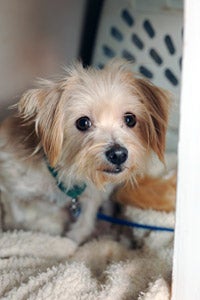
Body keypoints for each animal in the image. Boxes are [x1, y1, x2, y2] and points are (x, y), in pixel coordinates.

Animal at [0, 60, 170, 244]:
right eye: (83, 122)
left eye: (130, 119)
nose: (118, 154)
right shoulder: (9, 183)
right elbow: (16, 216)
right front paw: (16, 228)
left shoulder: (91, 196)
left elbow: (83, 225)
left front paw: (74, 240)